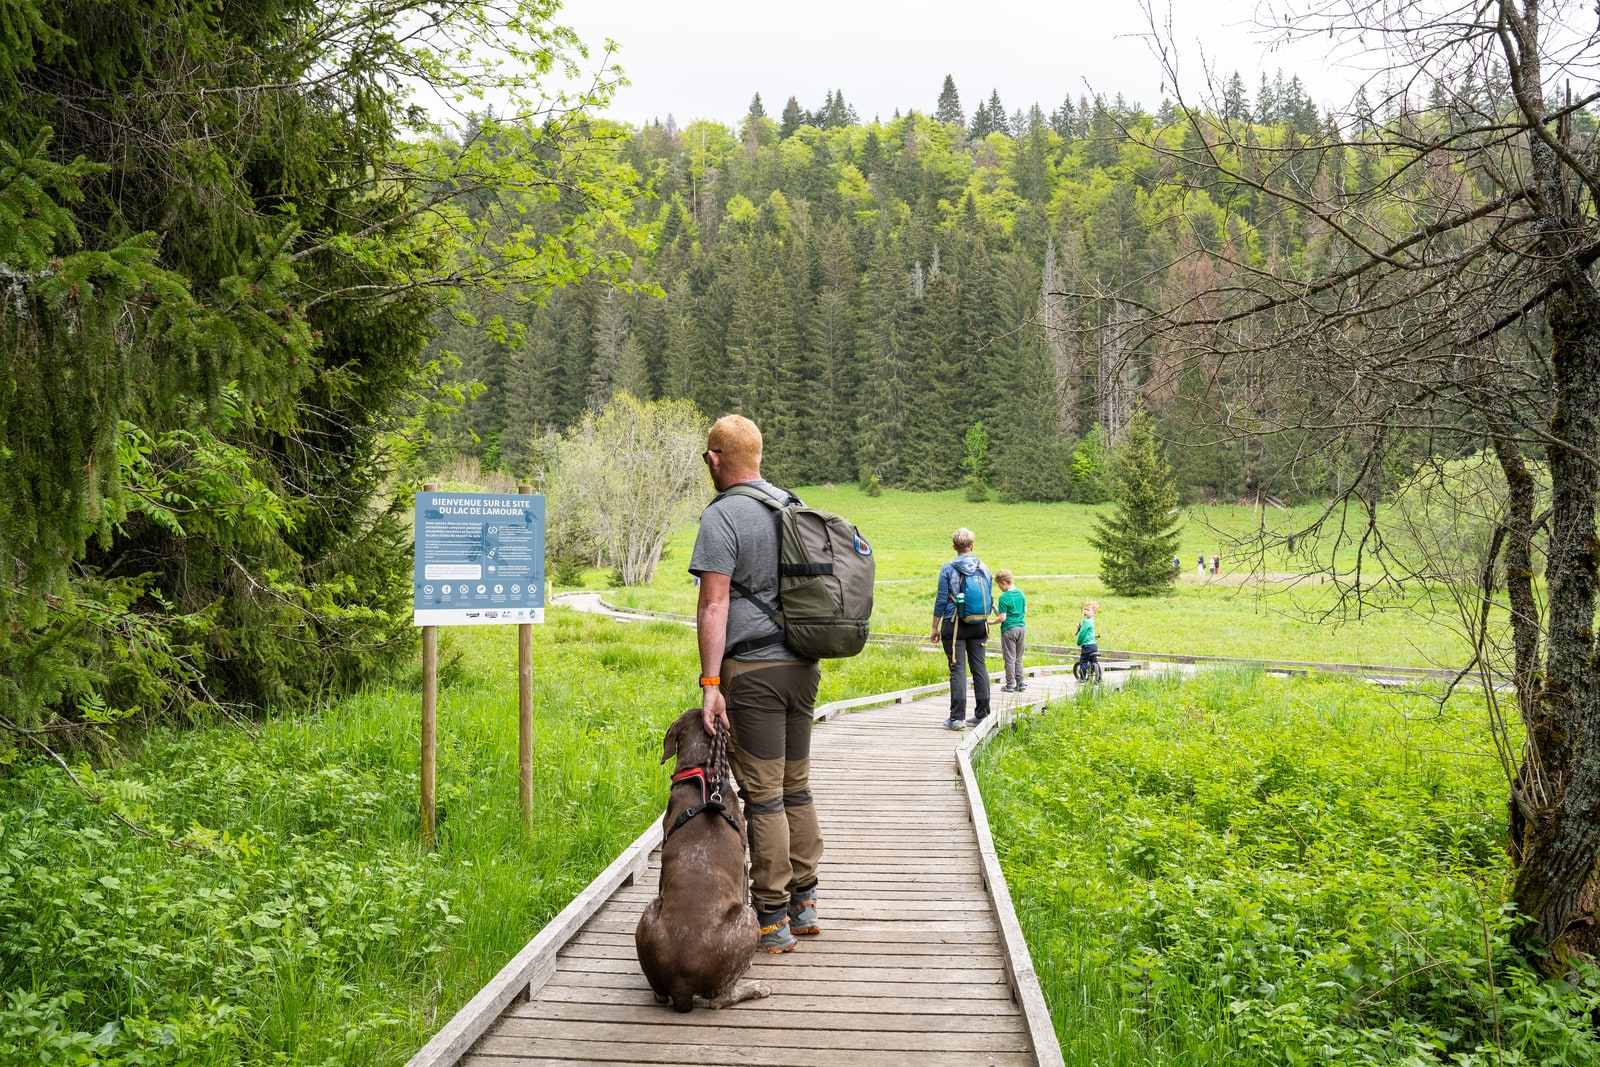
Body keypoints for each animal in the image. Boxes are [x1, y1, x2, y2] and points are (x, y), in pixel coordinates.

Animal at [630, 703, 768, 1017]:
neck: (703, 774)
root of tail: (682, 984)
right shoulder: (744, 865)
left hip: (650, 909)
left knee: (660, 994)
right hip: (746, 917)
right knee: (720, 999)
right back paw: (755, 987)